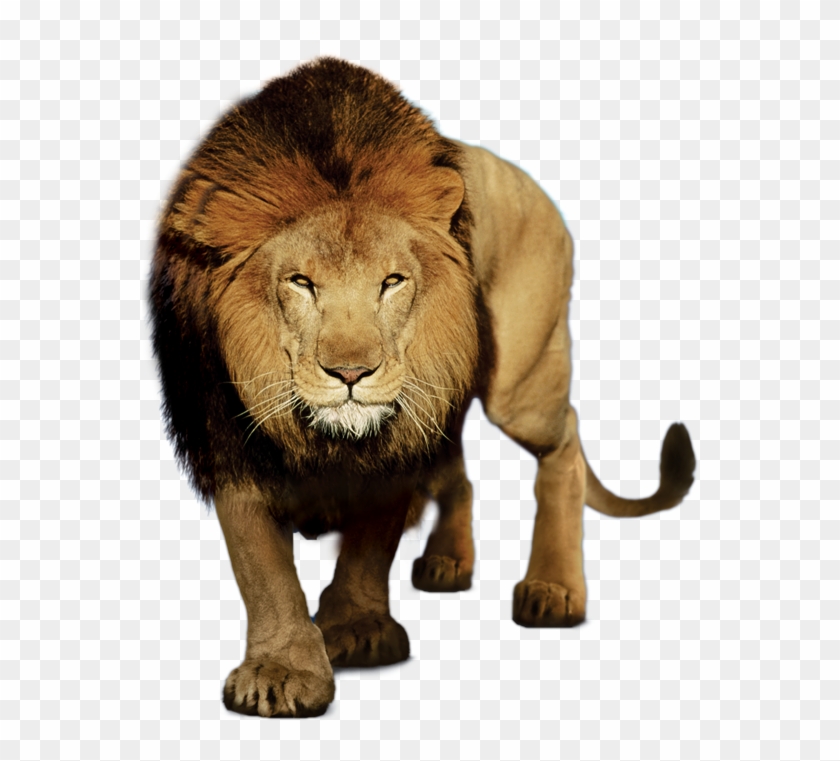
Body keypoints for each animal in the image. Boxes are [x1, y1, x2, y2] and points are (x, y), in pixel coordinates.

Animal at [150, 58, 696, 718]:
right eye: (300, 282)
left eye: (392, 281)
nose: (351, 374)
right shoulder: (227, 439)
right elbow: (264, 571)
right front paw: (281, 670)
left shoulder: (396, 441)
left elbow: (368, 545)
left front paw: (357, 628)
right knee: (459, 470)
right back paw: (446, 562)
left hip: (519, 387)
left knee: (564, 442)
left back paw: (552, 588)